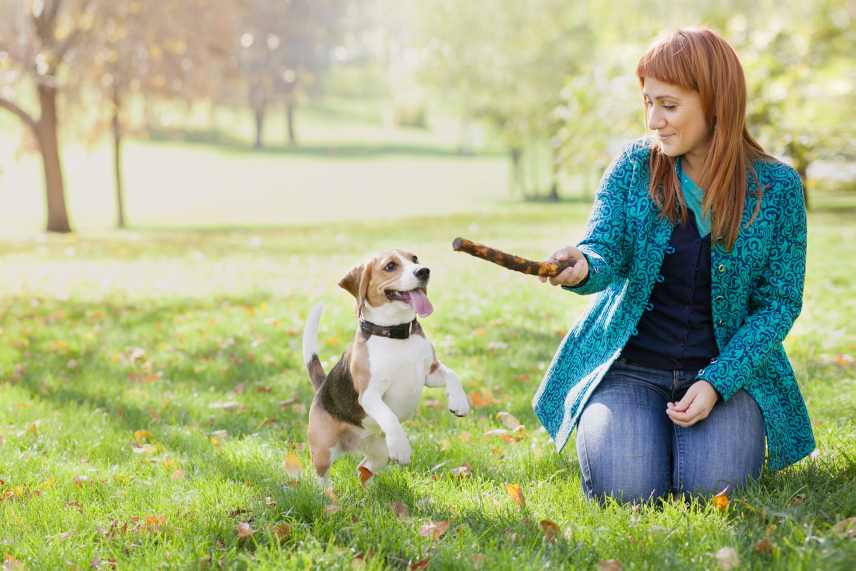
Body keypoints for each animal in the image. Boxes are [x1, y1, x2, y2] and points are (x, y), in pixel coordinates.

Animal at [304, 248, 472, 484]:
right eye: (390, 266)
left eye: (415, 259)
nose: (424, 271)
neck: (396, 333)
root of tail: (322, 387)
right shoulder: (369, 394)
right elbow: (389, 416)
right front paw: (401, 447)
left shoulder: (429, 372)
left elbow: (452, 375)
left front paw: (459, 402)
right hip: (323, 450)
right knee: (321, 476)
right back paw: (327, 493)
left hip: (379, 453)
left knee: (363, 467)